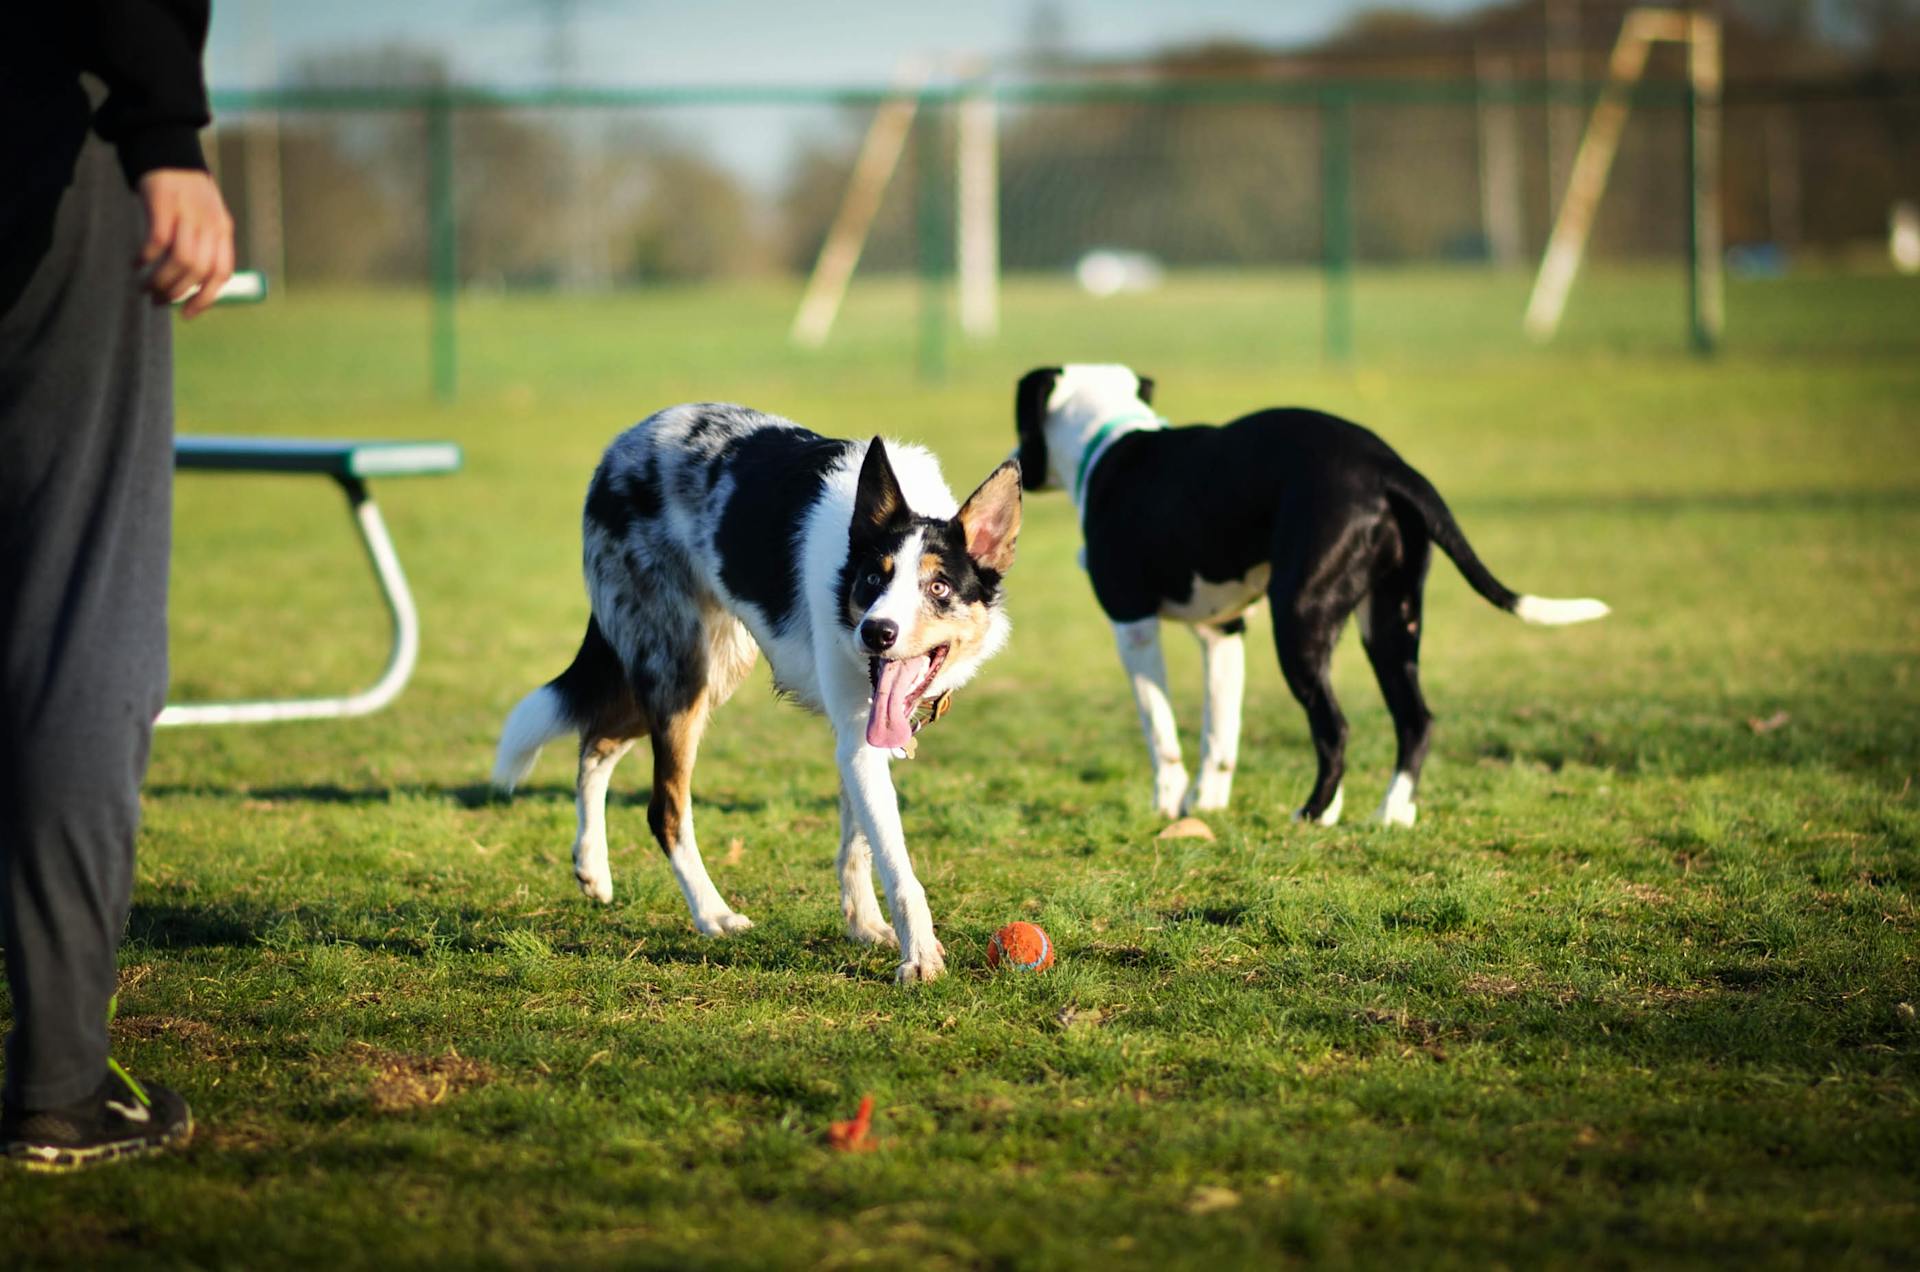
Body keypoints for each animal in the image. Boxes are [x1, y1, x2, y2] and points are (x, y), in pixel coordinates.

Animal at [503, 409, 1029, 983]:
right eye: (873, 579)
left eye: (938, 588)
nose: (876, 633)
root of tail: (624, 443)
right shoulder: (859, 738)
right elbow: (896, 863)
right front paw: (919, 957)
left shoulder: (865, 738)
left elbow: (859, 842)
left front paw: (863, 924)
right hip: (681, 671)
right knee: (664, 806)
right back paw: (712, 914)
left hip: (706, 666)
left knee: (596, 743)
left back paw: (592, 867)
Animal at [1013, 363, 1612, 833]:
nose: (1014, 460)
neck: (1112, 443)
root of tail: (1388, 468)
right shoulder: (1222, 632)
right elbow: (1219, 735)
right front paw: (1207, 806)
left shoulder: (1132, 626)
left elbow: (1160, 730)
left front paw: (1167, 804)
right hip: (1391, 622)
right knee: (1414, 720)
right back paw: (1389, 814)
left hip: (1299, 620)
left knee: (1334, 727)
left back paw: (1313, 813)